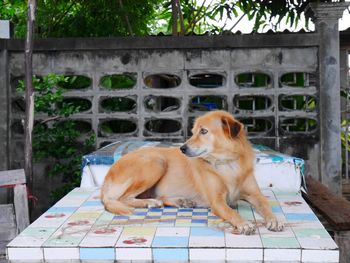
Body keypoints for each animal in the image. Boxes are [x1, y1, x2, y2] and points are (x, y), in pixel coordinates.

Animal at [101, 111, 284, 235]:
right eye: (193, 131)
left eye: (203, 131)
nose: (182, 148)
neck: (227, 164)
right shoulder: (217, 201)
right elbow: (232, 212)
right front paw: (243, 223)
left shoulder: (255, 194)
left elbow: (266, 206)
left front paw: (274, 220)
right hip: (156, 162)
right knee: (122, 198)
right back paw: (151, 203)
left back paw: (180, 201)